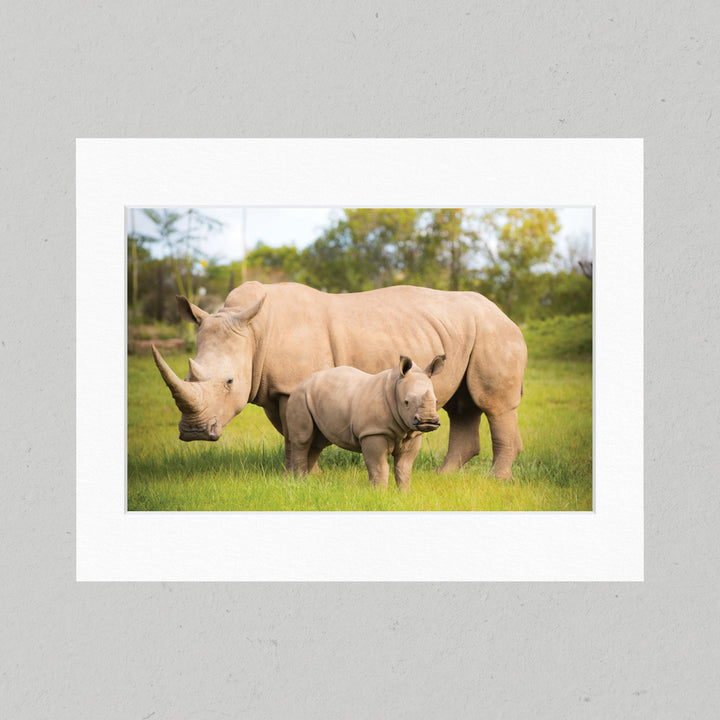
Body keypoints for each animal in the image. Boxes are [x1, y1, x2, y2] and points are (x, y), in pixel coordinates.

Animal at [286, 355, 445, 490]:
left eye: (436, 401)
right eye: (406, 402)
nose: (429, 420)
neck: (395, 387)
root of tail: (301, 382)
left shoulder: (413, 433)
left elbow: (404, 468)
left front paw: (405, 494)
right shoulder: (373, 432)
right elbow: (379, 467)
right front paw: (379, 494)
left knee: (317, 443)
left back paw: (309, 483)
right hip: (299, 396)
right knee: (303, 440)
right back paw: (300, 483)